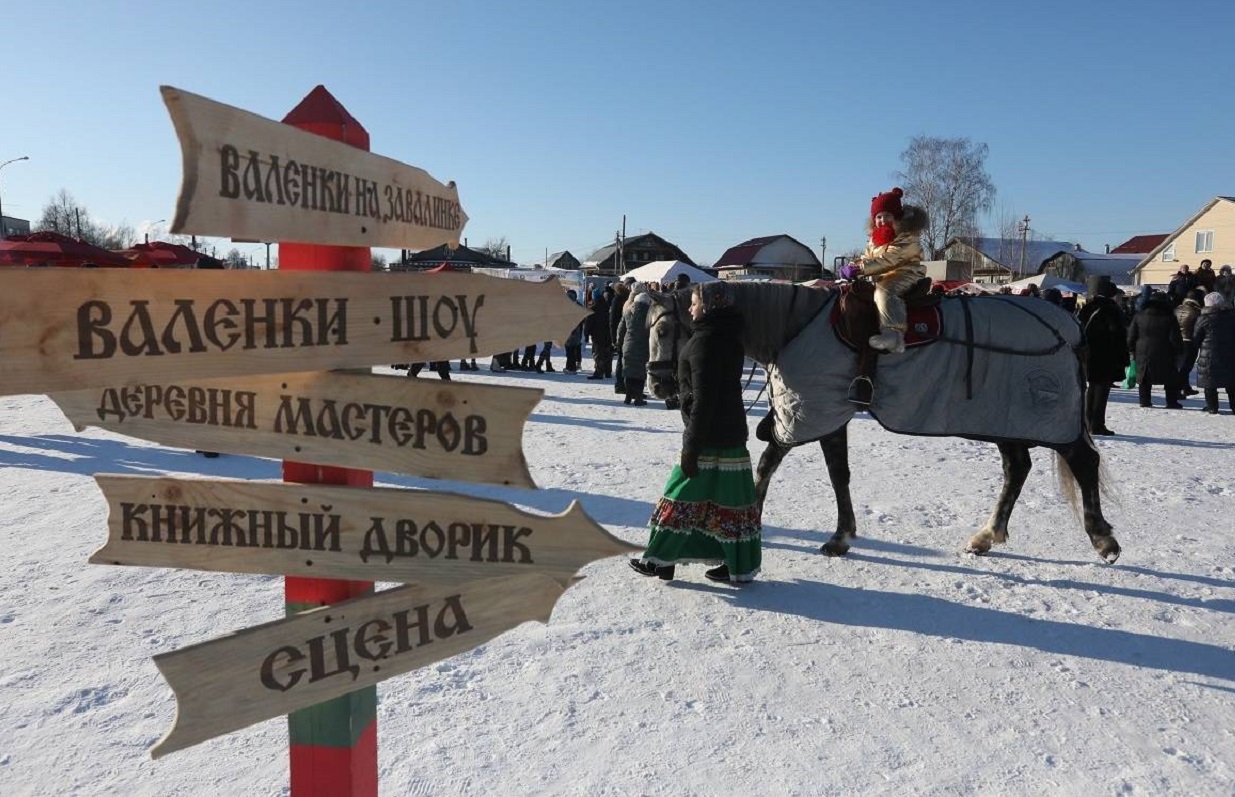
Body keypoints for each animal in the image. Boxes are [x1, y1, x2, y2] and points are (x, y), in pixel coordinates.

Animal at [647, 282, 1121, 563]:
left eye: (667, 330)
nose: (658, 383)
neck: (794, 325)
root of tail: (1068, 325)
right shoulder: (823, 413)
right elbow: (836, 474)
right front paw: (839, 533)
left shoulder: (814, 411)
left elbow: (773, 466)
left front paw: (767, 522)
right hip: (1004, 420)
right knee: (1017, 467)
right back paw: (987, 535)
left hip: (1041, 418)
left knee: (1083, 462)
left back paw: (1102, 539)